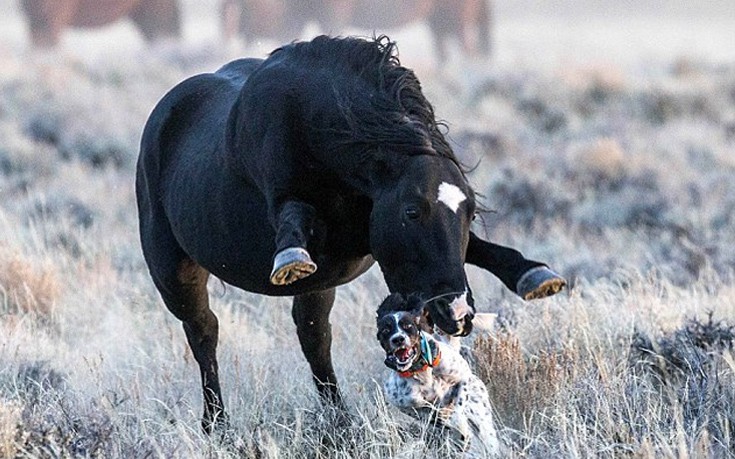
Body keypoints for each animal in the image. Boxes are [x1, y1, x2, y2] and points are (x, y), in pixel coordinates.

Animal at [135, 35, 568, 432]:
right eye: (412, 211)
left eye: (470, 210)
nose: (457, 312)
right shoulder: (289, 200)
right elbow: (292, 216)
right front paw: (290, 258)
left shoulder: (364, 237)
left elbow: (481, 248)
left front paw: (535, 276)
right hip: (174, 273)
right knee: (204, 333)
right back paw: (217, 424)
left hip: (317, 290)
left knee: (314, 337)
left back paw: (338, 418)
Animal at [380, 292, 500, 458]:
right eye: (386, 330)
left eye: (408, 326)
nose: (398, 339)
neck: (422, 372)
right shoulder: (408, 406)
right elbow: (430, 413)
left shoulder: (463, 377)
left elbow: (457, 408)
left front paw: (459, 426)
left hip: (483, 422)